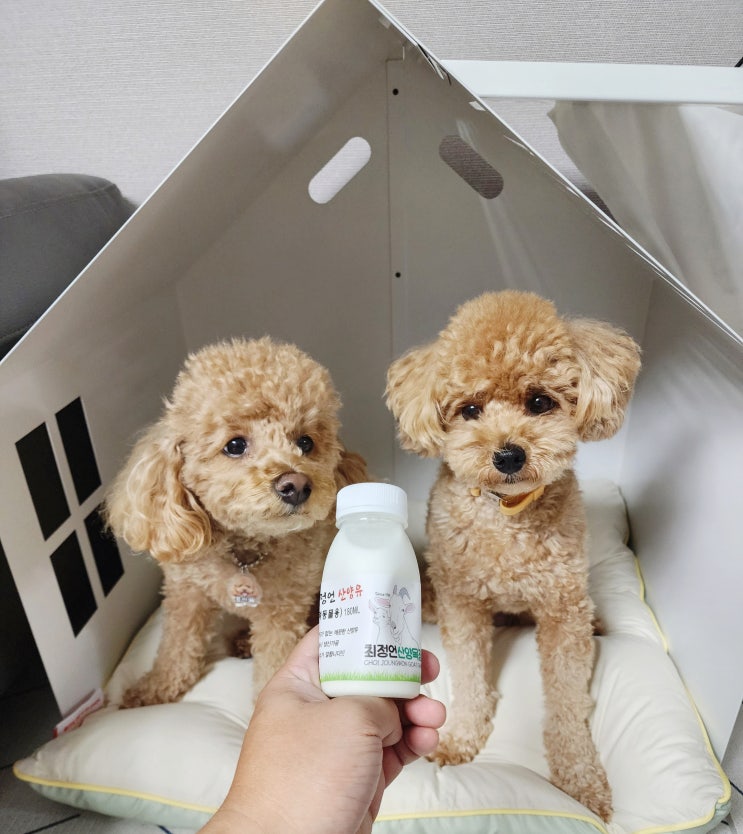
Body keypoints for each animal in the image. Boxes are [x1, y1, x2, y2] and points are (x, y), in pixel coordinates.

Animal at [105, 336, 367, 706]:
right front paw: (154, 688)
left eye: (306, 442)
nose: (296, 486)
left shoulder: (281, 612)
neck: (245, 551)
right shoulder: (186, 593)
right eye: (235, 445)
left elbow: (274, 666)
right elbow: (177, 646)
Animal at [385, 290, 641, 820]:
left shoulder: (562, 611)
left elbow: (567, 702)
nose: (508, 455)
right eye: (470, 409)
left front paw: (581, 780)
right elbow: (468, 678)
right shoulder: (463, 604)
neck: (508, 513)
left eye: (539, 402)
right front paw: (460, 738)